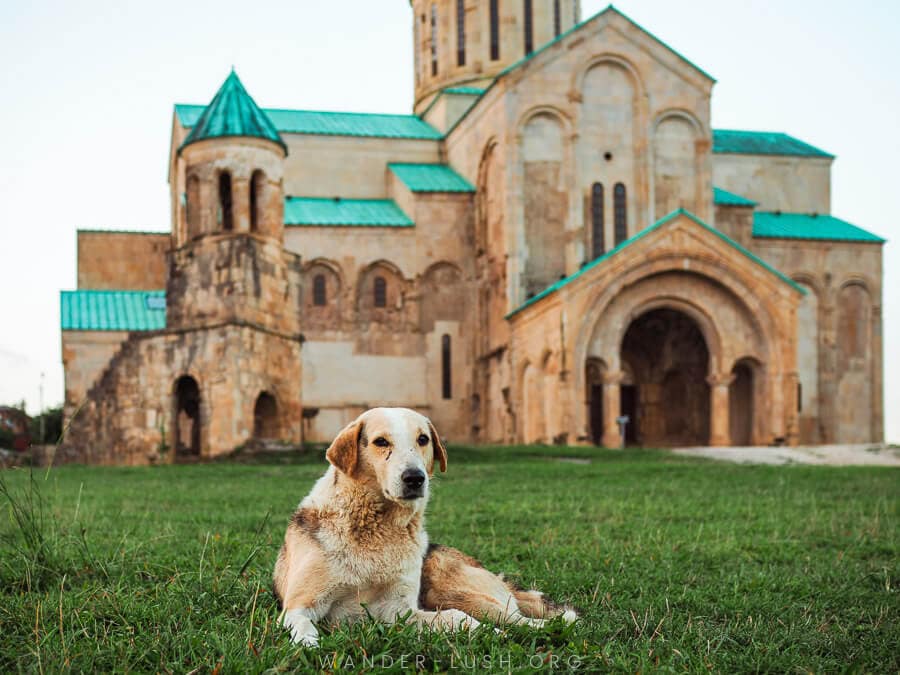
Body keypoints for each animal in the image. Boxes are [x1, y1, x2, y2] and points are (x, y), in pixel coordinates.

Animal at [272, 404, 576, 648]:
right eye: (380, 442)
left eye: (423, 439)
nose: (415, 478)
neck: (377, 531)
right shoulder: (299, 606)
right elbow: (303, 627)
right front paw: (309, 644)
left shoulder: (396, 610)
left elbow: (460, 619)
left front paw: (493, 635)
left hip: (452, 591)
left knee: (522, 618)